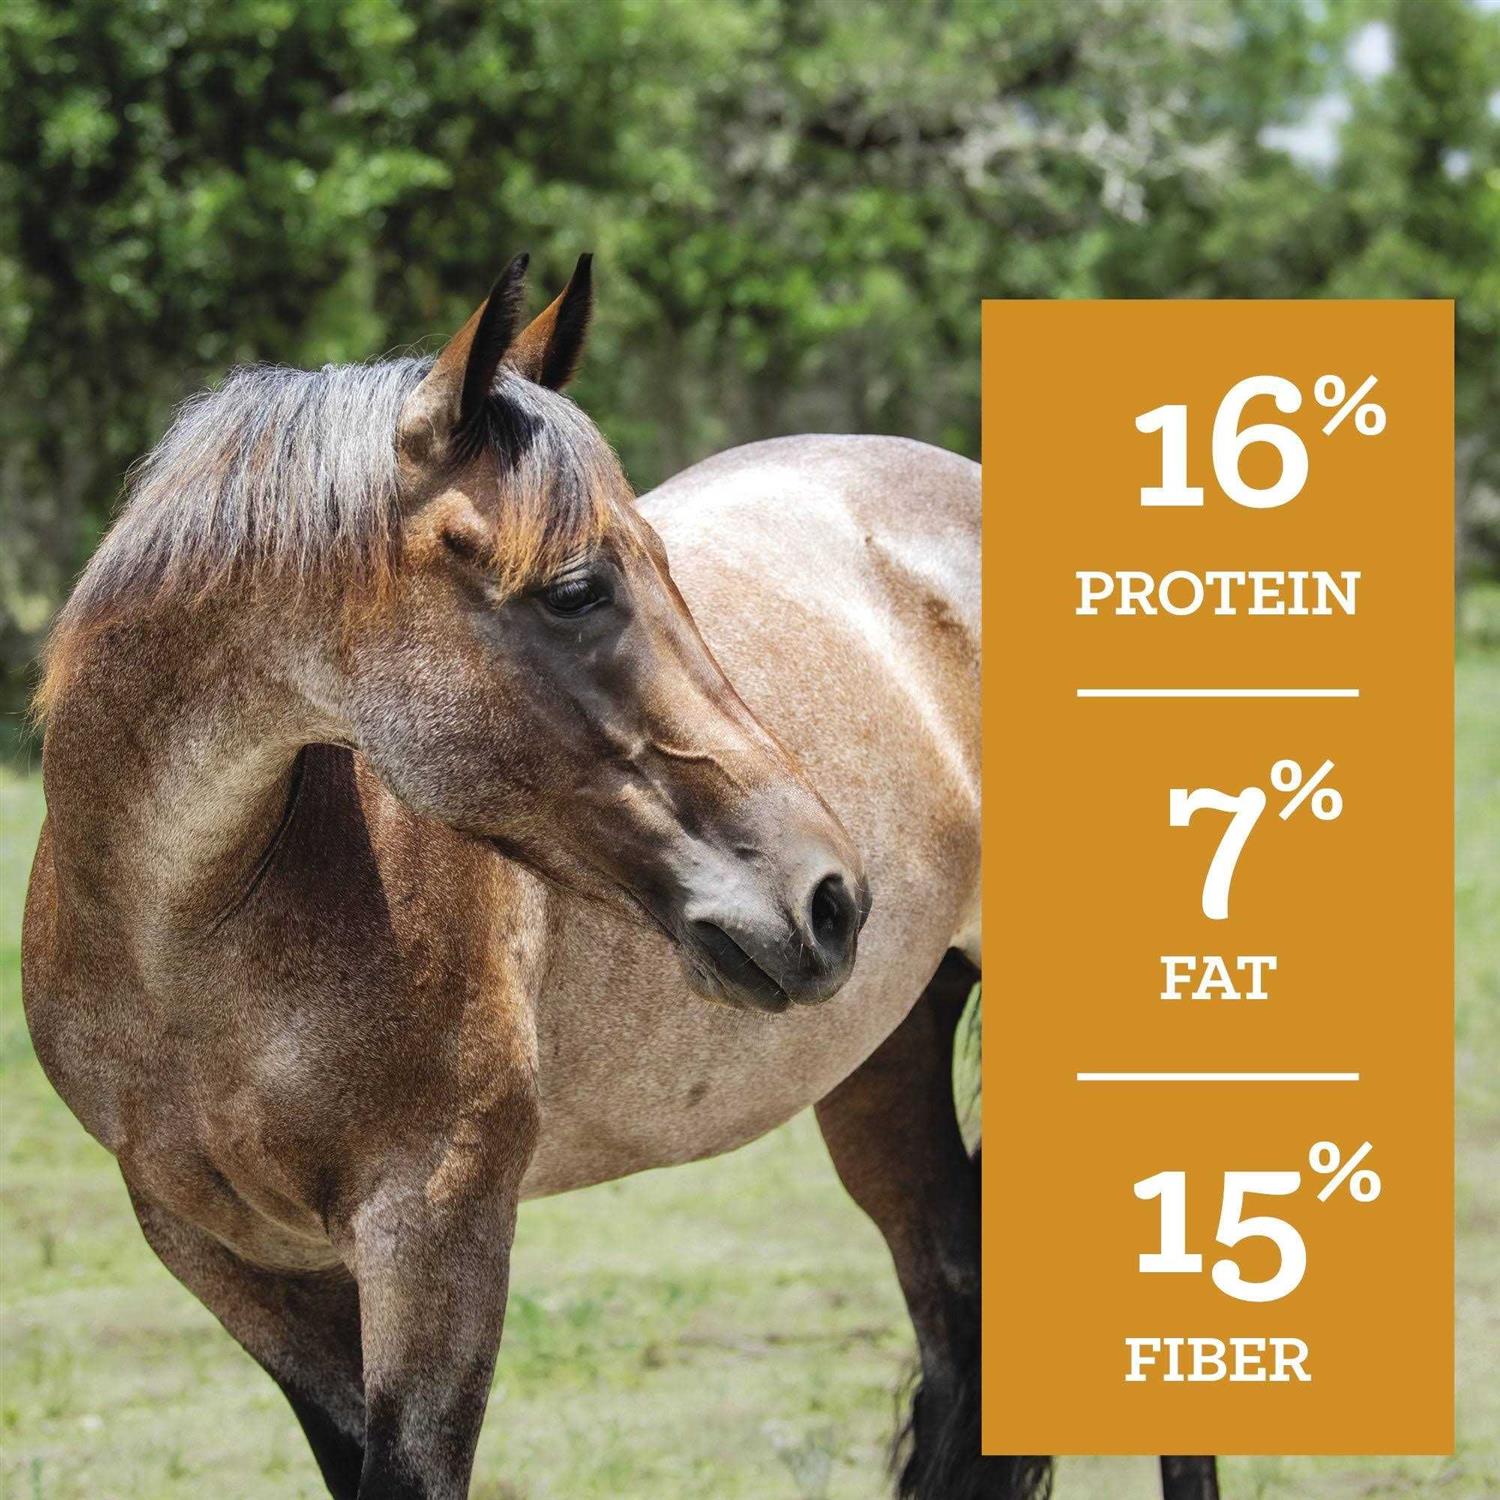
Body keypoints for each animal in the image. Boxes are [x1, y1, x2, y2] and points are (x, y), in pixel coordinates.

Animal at [22, 252, 1217, 1500]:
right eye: (577, 589)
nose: (830, 897)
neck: (187, 946)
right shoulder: (236, 1268)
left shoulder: (436, 1239)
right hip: (885, 1068)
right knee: (955, 1312)